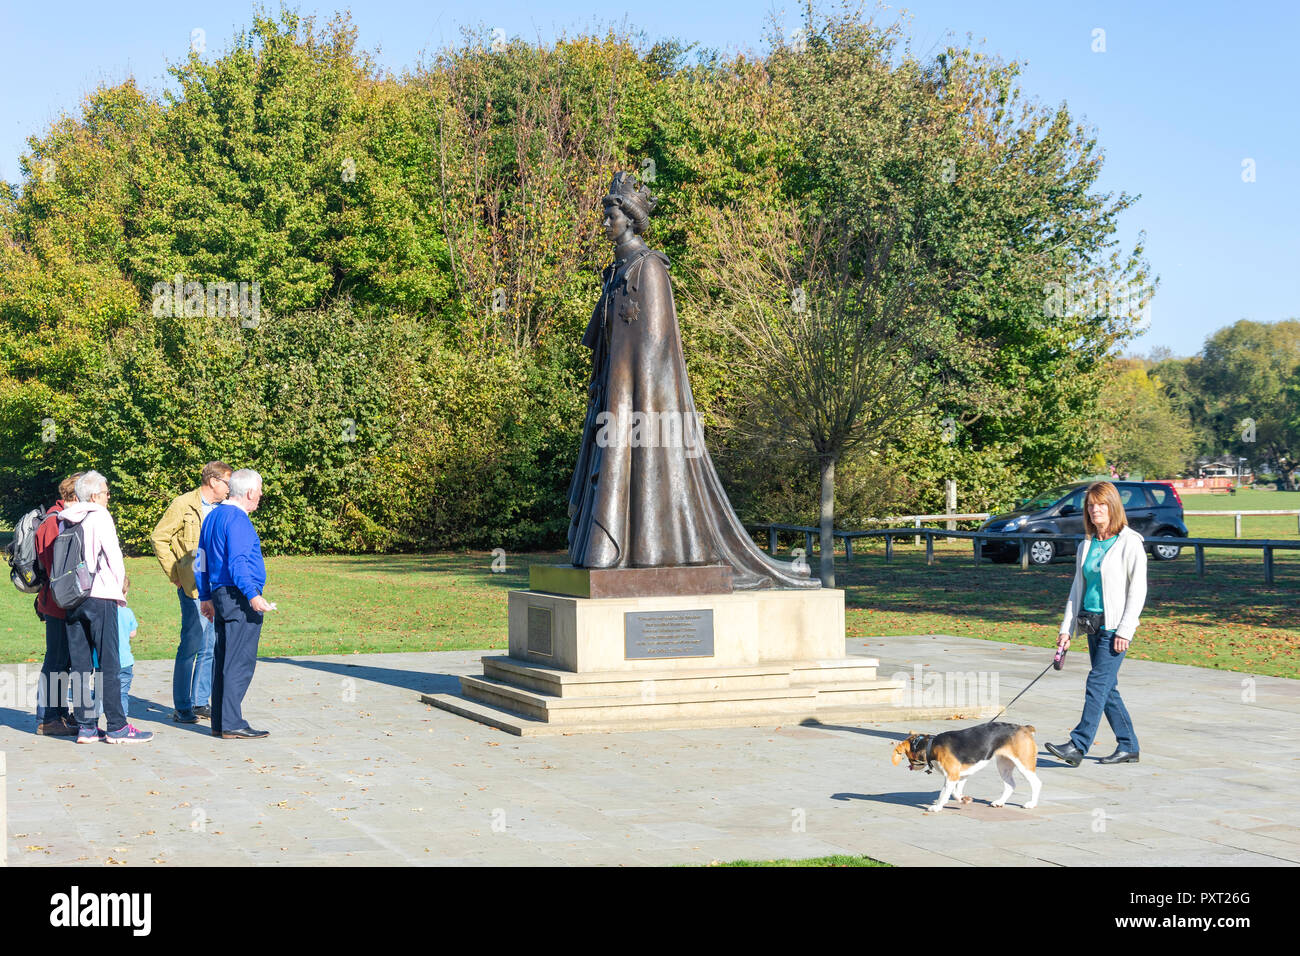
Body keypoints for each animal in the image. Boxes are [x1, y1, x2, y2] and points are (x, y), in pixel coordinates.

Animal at [889, 723, 1040, 811]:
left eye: (909, 757)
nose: (909, 766)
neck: (931, 745)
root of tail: (1025, 728)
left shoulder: (951, 776)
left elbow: (944, 793)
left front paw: (937, 807)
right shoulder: (961, 775)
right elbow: (956, 792)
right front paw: (963, 799)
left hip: (1024, 765)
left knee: (1036, 783)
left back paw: (1031, 804)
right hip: (1004, 765)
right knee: (1010, 785)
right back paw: (999, 802)